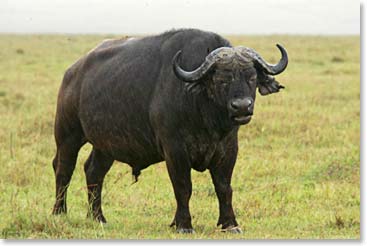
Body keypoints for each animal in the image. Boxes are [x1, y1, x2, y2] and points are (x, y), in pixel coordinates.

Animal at [51, 28, 288, 233]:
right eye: (222, 79)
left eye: (252, 77)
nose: (242, 107)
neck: (207, 118)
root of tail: (72, 72)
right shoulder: (175, 150)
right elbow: (183, 187)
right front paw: (183, 224)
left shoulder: (228, 149)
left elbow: (224, 187)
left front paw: (230, 224)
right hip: (67, 135)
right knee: (63, 169)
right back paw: (59, 212)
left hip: (105, 145)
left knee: (93, 171)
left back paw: (97, 217)